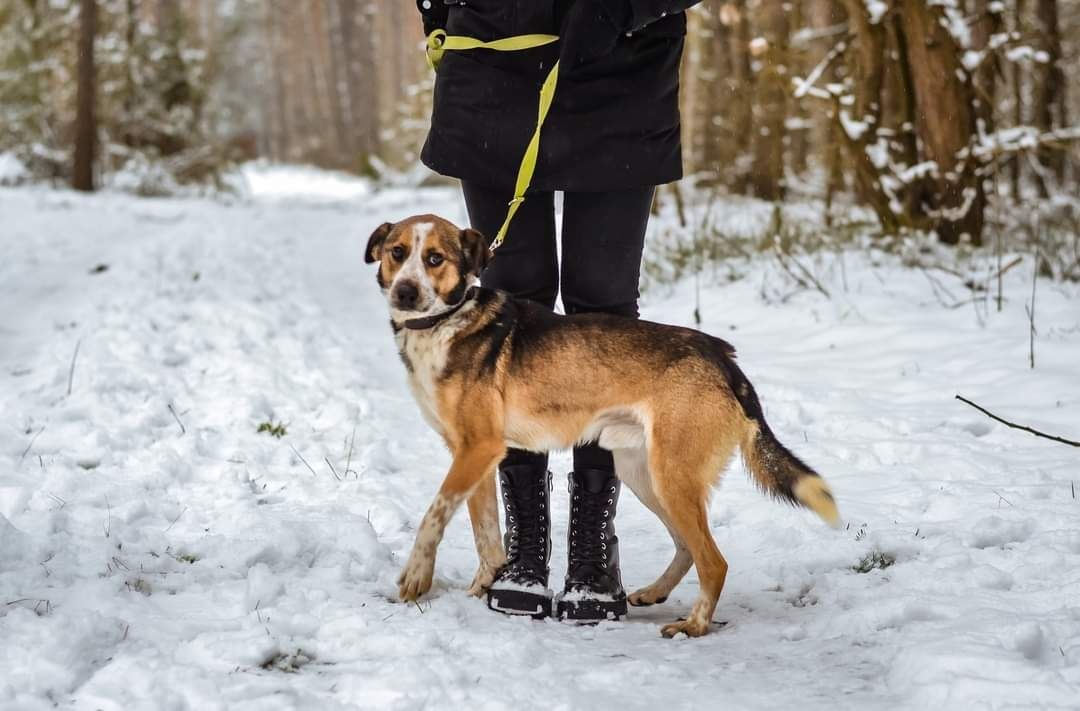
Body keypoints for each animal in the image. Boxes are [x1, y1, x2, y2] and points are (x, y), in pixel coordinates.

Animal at [367, 211, 838, 635]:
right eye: (397, 252)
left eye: (435, 258)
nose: (405, 292)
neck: (446, 322)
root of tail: (722, 358)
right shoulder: (473, 455)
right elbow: (486, 534)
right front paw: (483, 588)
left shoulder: (478, 449)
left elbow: (433, 515)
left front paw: (416, 577)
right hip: (643, 472)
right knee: (687, 546)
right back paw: (654, 593)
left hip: (670, 476)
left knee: (714, 561)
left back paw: (694, 625)